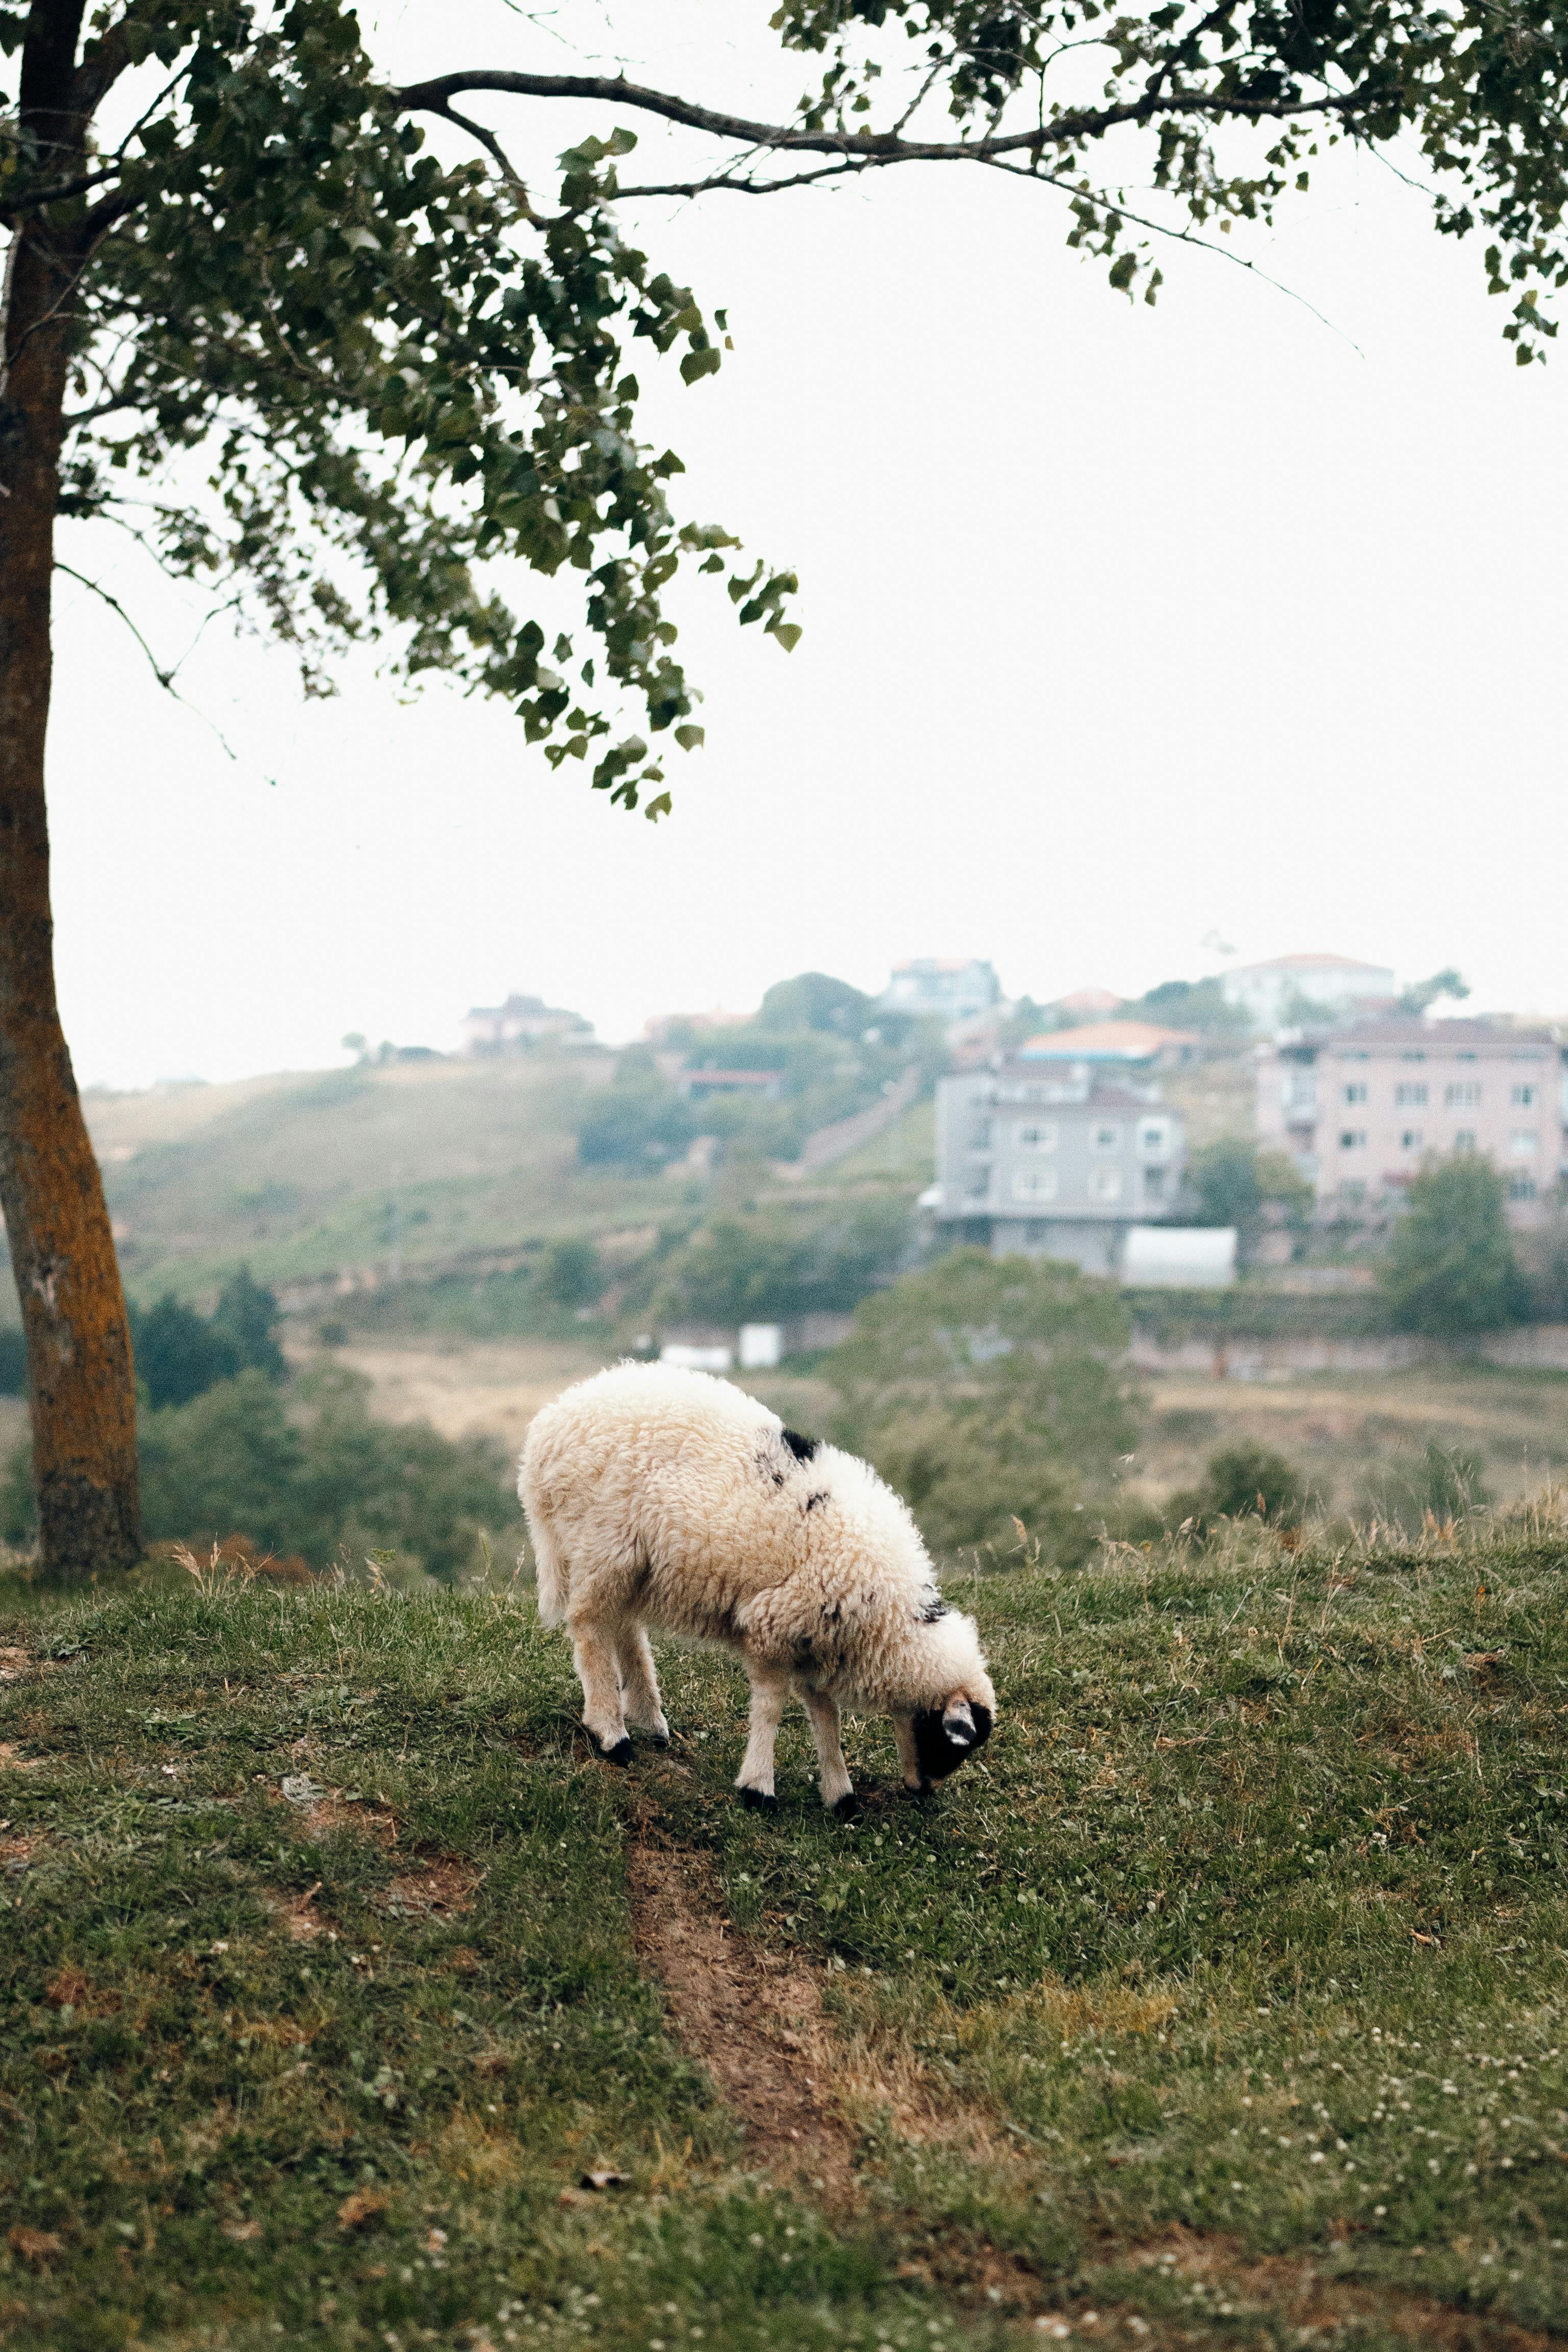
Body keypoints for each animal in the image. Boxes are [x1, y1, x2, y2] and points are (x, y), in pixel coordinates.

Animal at [518, 1361, 995, 1816]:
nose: (923, 1791)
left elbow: (826, 1716)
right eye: (946, 1740)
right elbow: (771, 1707)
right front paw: (758, 1789)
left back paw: (650, 1720)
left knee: (624, 1628)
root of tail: (547, 1428)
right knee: (590, 1627)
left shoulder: (815, 1638)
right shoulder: (774, 1628)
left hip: (634, 1563)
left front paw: (842, 1797)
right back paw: (612, 1734)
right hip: (602, 1544)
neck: (889, 1620)